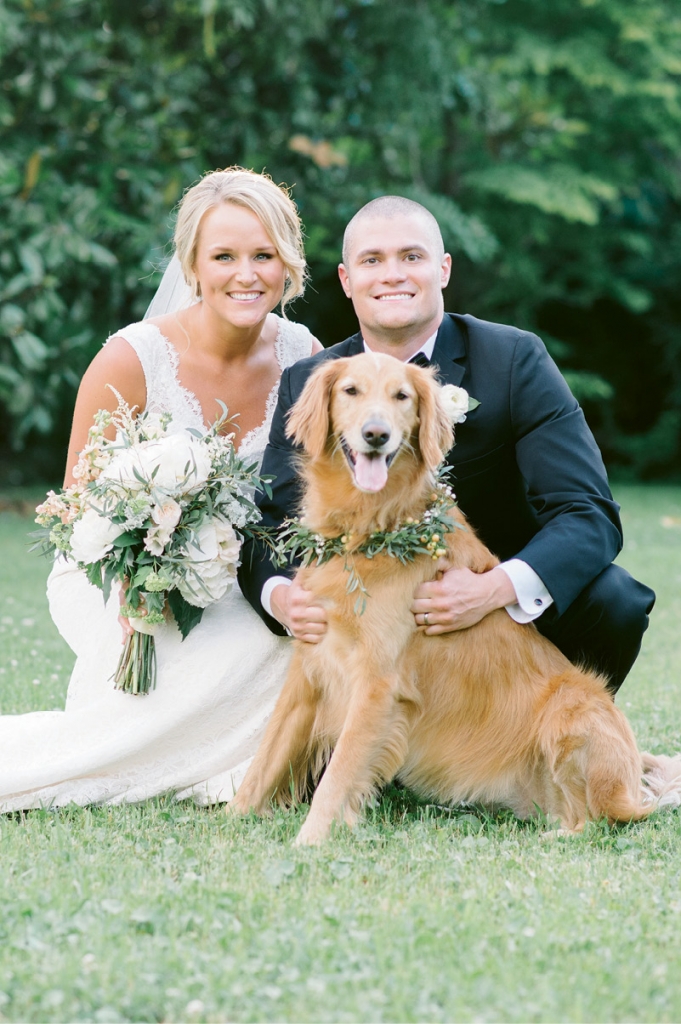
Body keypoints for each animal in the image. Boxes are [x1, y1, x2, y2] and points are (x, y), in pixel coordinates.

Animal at [229, 354, 679, 847]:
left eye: (401, 396)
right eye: (350, 390)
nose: (376, 434)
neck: (369, 529)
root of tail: (634, 786)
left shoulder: (377, 683)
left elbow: (339, 774)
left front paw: (309, 842)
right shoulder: (310, 666)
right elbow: (264, 760)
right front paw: (232, 820)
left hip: (573, 709)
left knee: (604, 821)